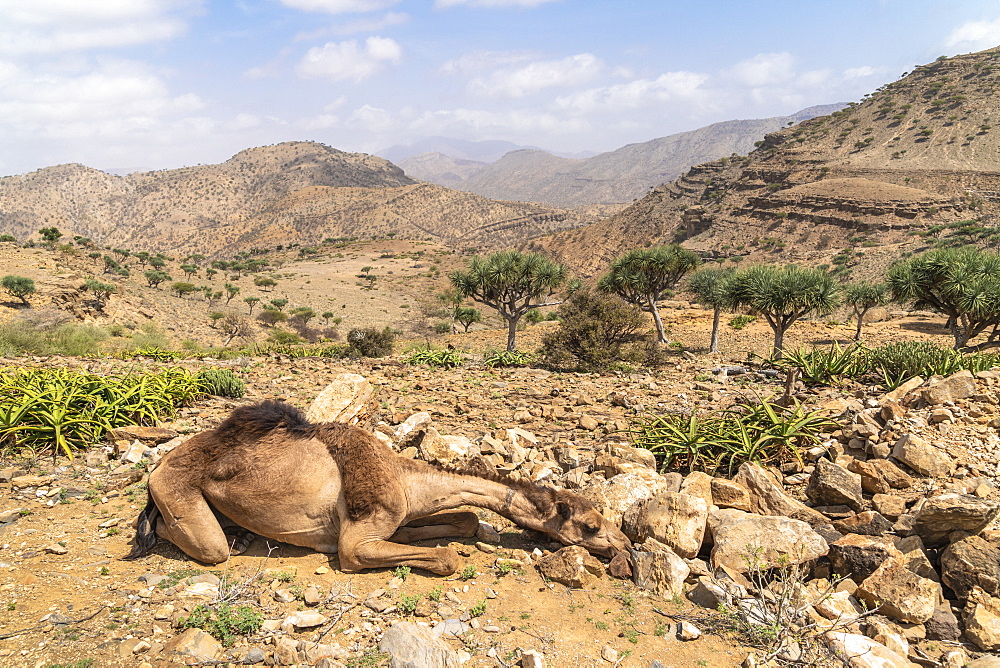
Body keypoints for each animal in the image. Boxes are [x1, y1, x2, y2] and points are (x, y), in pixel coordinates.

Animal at [121, 400, 628, 576]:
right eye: (589, 525)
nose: (623, 545)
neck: (405, 478)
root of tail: (159, 465)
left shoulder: (395, 520)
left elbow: (463, 520)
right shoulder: (355, 542)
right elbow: (445, 557)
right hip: (177, 491)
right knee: (196, 542)